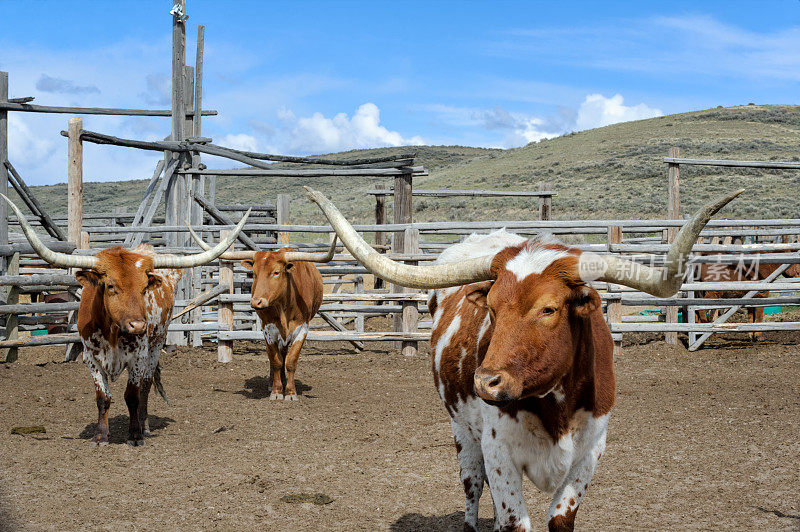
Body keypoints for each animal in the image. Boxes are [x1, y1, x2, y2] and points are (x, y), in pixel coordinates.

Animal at [5, 197, 247, 446]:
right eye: (111, 286)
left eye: (144, 287)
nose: (138, 326)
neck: (111, 332)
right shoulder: (91, 359)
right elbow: (103, 398)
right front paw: (101, 436)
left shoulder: (138, 357)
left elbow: (132, 396)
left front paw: (135, 434)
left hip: (156, 345)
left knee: (146, 388)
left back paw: (145, 426)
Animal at [306, 187, 744, 532]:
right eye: (492, 308)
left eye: (549, 309)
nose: (485, 382)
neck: (556, 408)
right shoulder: (500, 453)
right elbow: (514, 521)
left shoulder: (590, 452)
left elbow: (560, 518)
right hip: (463, 432)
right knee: (472, 488)